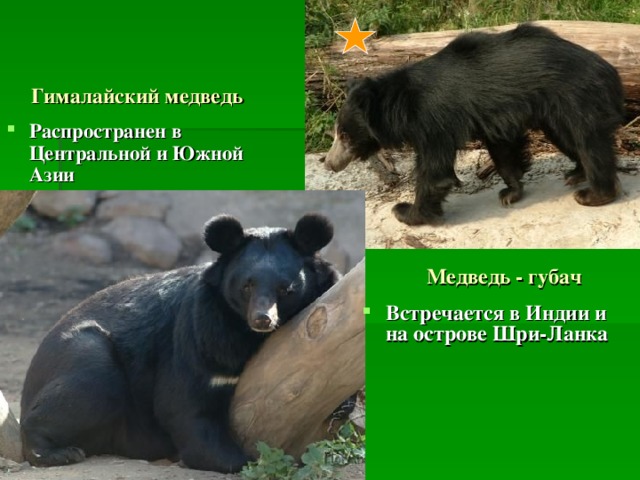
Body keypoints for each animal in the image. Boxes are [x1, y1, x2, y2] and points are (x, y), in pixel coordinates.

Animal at [20, 213, 342, 473]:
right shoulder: (200, 337)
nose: (262, 318)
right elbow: (185, 406)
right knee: (89, 388)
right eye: (246, 286)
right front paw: (244, 461)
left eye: (285, 289)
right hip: (86, 353)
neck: (248, 334)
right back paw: (59, 453)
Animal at [323, 24, 625, 226]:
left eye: (344, 135)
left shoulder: (432, 120)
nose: (329, 163)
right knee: (568, 139)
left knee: (589, 143)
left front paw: (405, 211)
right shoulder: (495, 116)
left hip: (578, 98)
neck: (401, 104)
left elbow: (434, 171)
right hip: (556, 111)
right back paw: (576, 173)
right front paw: (511, 192)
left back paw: (593, 194)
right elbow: (503, 148)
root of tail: (611, 71)